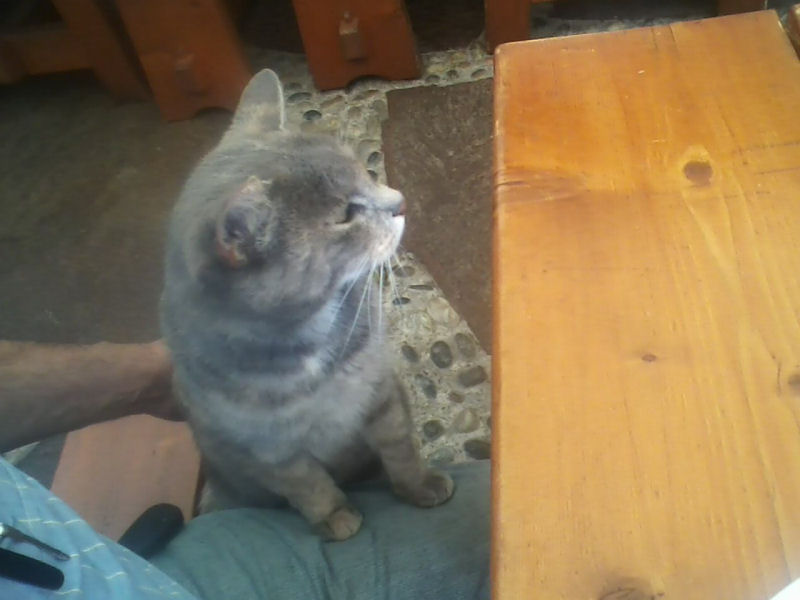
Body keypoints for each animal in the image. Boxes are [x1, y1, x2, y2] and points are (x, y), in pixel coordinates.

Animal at [160, 69, 454, 541]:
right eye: (346, 214)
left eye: (365, 171)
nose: (401, 201)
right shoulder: (266, 450)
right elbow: (307, 483)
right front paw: (335, 517)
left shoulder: (379, 389)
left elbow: (400, 445)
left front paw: (420, 485)